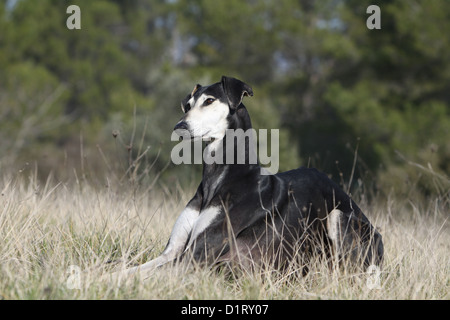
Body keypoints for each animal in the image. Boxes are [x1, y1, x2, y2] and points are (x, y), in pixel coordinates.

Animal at [112, 76, 384, 278]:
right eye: (187, 105)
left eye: (209, 101)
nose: (180, 127)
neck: (220, 175)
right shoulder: (172, 253)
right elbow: (126, 271)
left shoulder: (196, 256)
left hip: (339, 217)